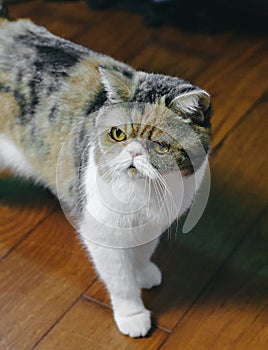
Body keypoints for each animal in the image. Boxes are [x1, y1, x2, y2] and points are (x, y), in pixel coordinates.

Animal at [0, 18, 211, 336]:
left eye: (160, 145)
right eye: (118, 134)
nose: (134, 153)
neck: (143, 194)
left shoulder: (153, 224)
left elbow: (143, 252)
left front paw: (143, 272)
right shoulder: (103, 234)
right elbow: (120, 279)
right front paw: (132, 314)